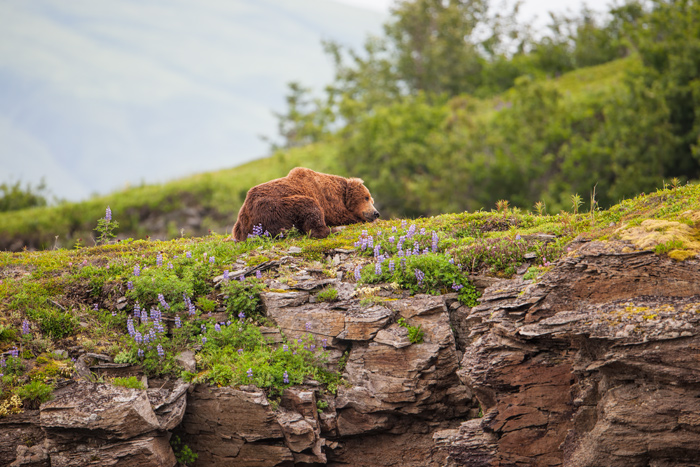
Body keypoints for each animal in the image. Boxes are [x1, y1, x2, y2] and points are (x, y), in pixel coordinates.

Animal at [232, 167, 380, 241]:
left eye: (371, 199)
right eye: (366, 197)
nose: (376, 213)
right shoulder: (325, 199)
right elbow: (340, 216)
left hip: (242, 225)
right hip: (274, 207)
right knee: (308, 207)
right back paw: (336, 229)